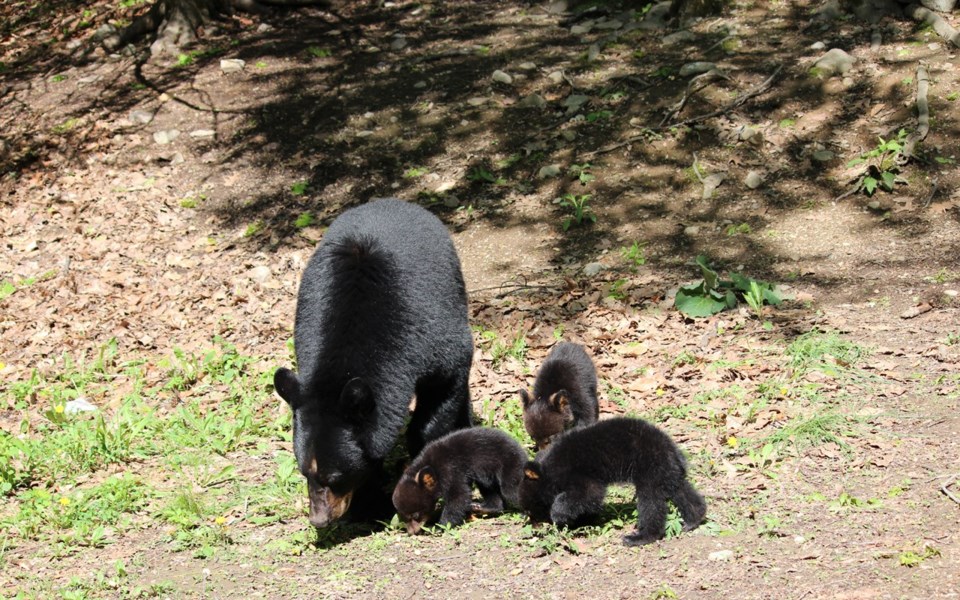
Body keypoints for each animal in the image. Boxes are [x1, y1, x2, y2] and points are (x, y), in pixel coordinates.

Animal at [272, 199, 474, 528]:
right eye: (305, 473)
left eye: (335, 477)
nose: (318, 520)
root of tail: (391, 201)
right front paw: (370, 502)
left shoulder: (428, 333)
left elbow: (445, 384)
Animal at [390, 426, 524, 536]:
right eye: (402, 516)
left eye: (416, 515)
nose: (412, 532)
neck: (433, 466)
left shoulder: (451, 471)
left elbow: (458, 496)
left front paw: (439, 526)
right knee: (489, 490)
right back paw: (480, 507)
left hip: (509, 465)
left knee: (511, 489)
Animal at [516, 418, 704, 544]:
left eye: (531, 508)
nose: (534, 526)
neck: (551, 468)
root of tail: (673, 448)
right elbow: (589, 502)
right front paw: (583, 521)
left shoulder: (579, 472)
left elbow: (588, 493)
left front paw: (558, 514)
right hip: (666, 470)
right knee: (680, 490)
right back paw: (693, 520)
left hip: (650, 466)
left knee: (651, 502)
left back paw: (640, 537)